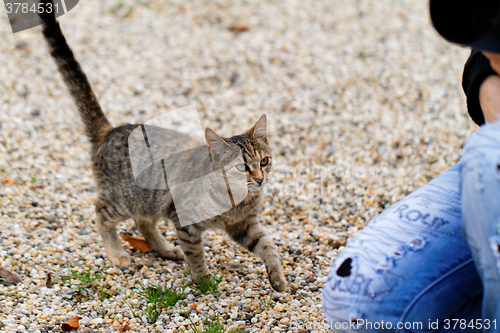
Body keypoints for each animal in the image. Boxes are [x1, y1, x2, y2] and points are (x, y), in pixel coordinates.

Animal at [37, 1, 288, 290]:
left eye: (264, 161)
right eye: (241, 167)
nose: (259, 179)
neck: (240, 200)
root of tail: (110, 130)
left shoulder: (244, 226)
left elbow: (268, 245)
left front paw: (278, 277)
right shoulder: (185, 222)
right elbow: (195, 253)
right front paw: (203, 281)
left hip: (149, 202)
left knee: (143, 223)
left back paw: (165, 249)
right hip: (126, 198)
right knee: (101, 212)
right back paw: (117, 253)